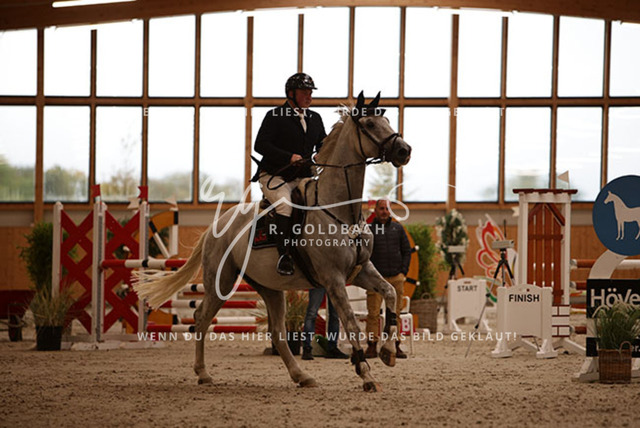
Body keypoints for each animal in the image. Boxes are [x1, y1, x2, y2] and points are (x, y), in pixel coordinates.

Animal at [134, 92, 412, 392]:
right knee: (202, 318)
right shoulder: (333, 279)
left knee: (277, 332)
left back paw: (301, 376)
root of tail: (214, 227)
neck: (339, 209)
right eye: (370, 124)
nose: (404, 150)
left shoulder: (361, 271)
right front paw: (366, 374)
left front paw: (388, 352)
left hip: (270, 288)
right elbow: (351, 323)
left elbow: (390, 293)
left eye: (386, 120)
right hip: (222, 282)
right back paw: (203, 373)